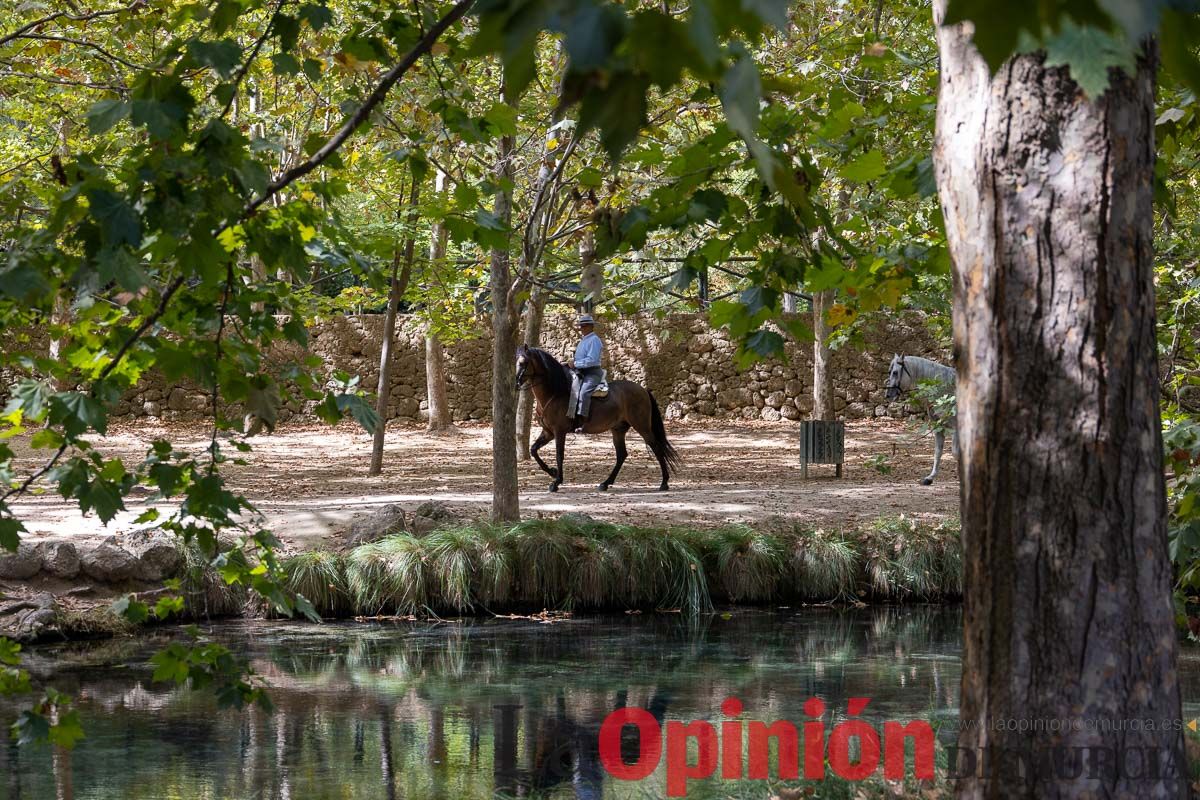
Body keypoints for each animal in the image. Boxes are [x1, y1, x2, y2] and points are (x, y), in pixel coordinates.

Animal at [516, 345, 686, 491]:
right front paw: (552, 472)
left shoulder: (559, 432)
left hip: (642, 426)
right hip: (618, 430)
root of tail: (643, 390)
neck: (555, 393)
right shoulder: (548, 432)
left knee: (656, 448)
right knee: (622, 455)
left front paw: (556, 482)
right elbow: (534, 450)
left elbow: (559, 455)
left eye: (523, 362)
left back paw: (664, 483)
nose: (517, 383)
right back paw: (605, 483)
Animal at [883, 357, 955, 489]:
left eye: (895, 372)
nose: (888, 395)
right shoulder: (939, 428)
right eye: (889, 372)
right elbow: (938, 452)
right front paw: (929, 478)